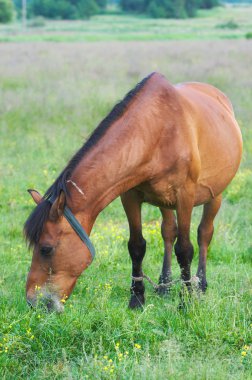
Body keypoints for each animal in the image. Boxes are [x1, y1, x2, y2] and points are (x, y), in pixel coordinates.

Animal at [23, 72, 242, 312]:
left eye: (46, 248)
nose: (33, 301)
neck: (156, 131)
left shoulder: (185, 196)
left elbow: (184, 249)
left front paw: (185, 302)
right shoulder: (129, 196)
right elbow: (136, 246)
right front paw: (137, 299)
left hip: (215, 195)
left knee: (204, 234)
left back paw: (200, 285)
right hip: (165, 203)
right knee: (168, 231)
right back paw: (164, 284)